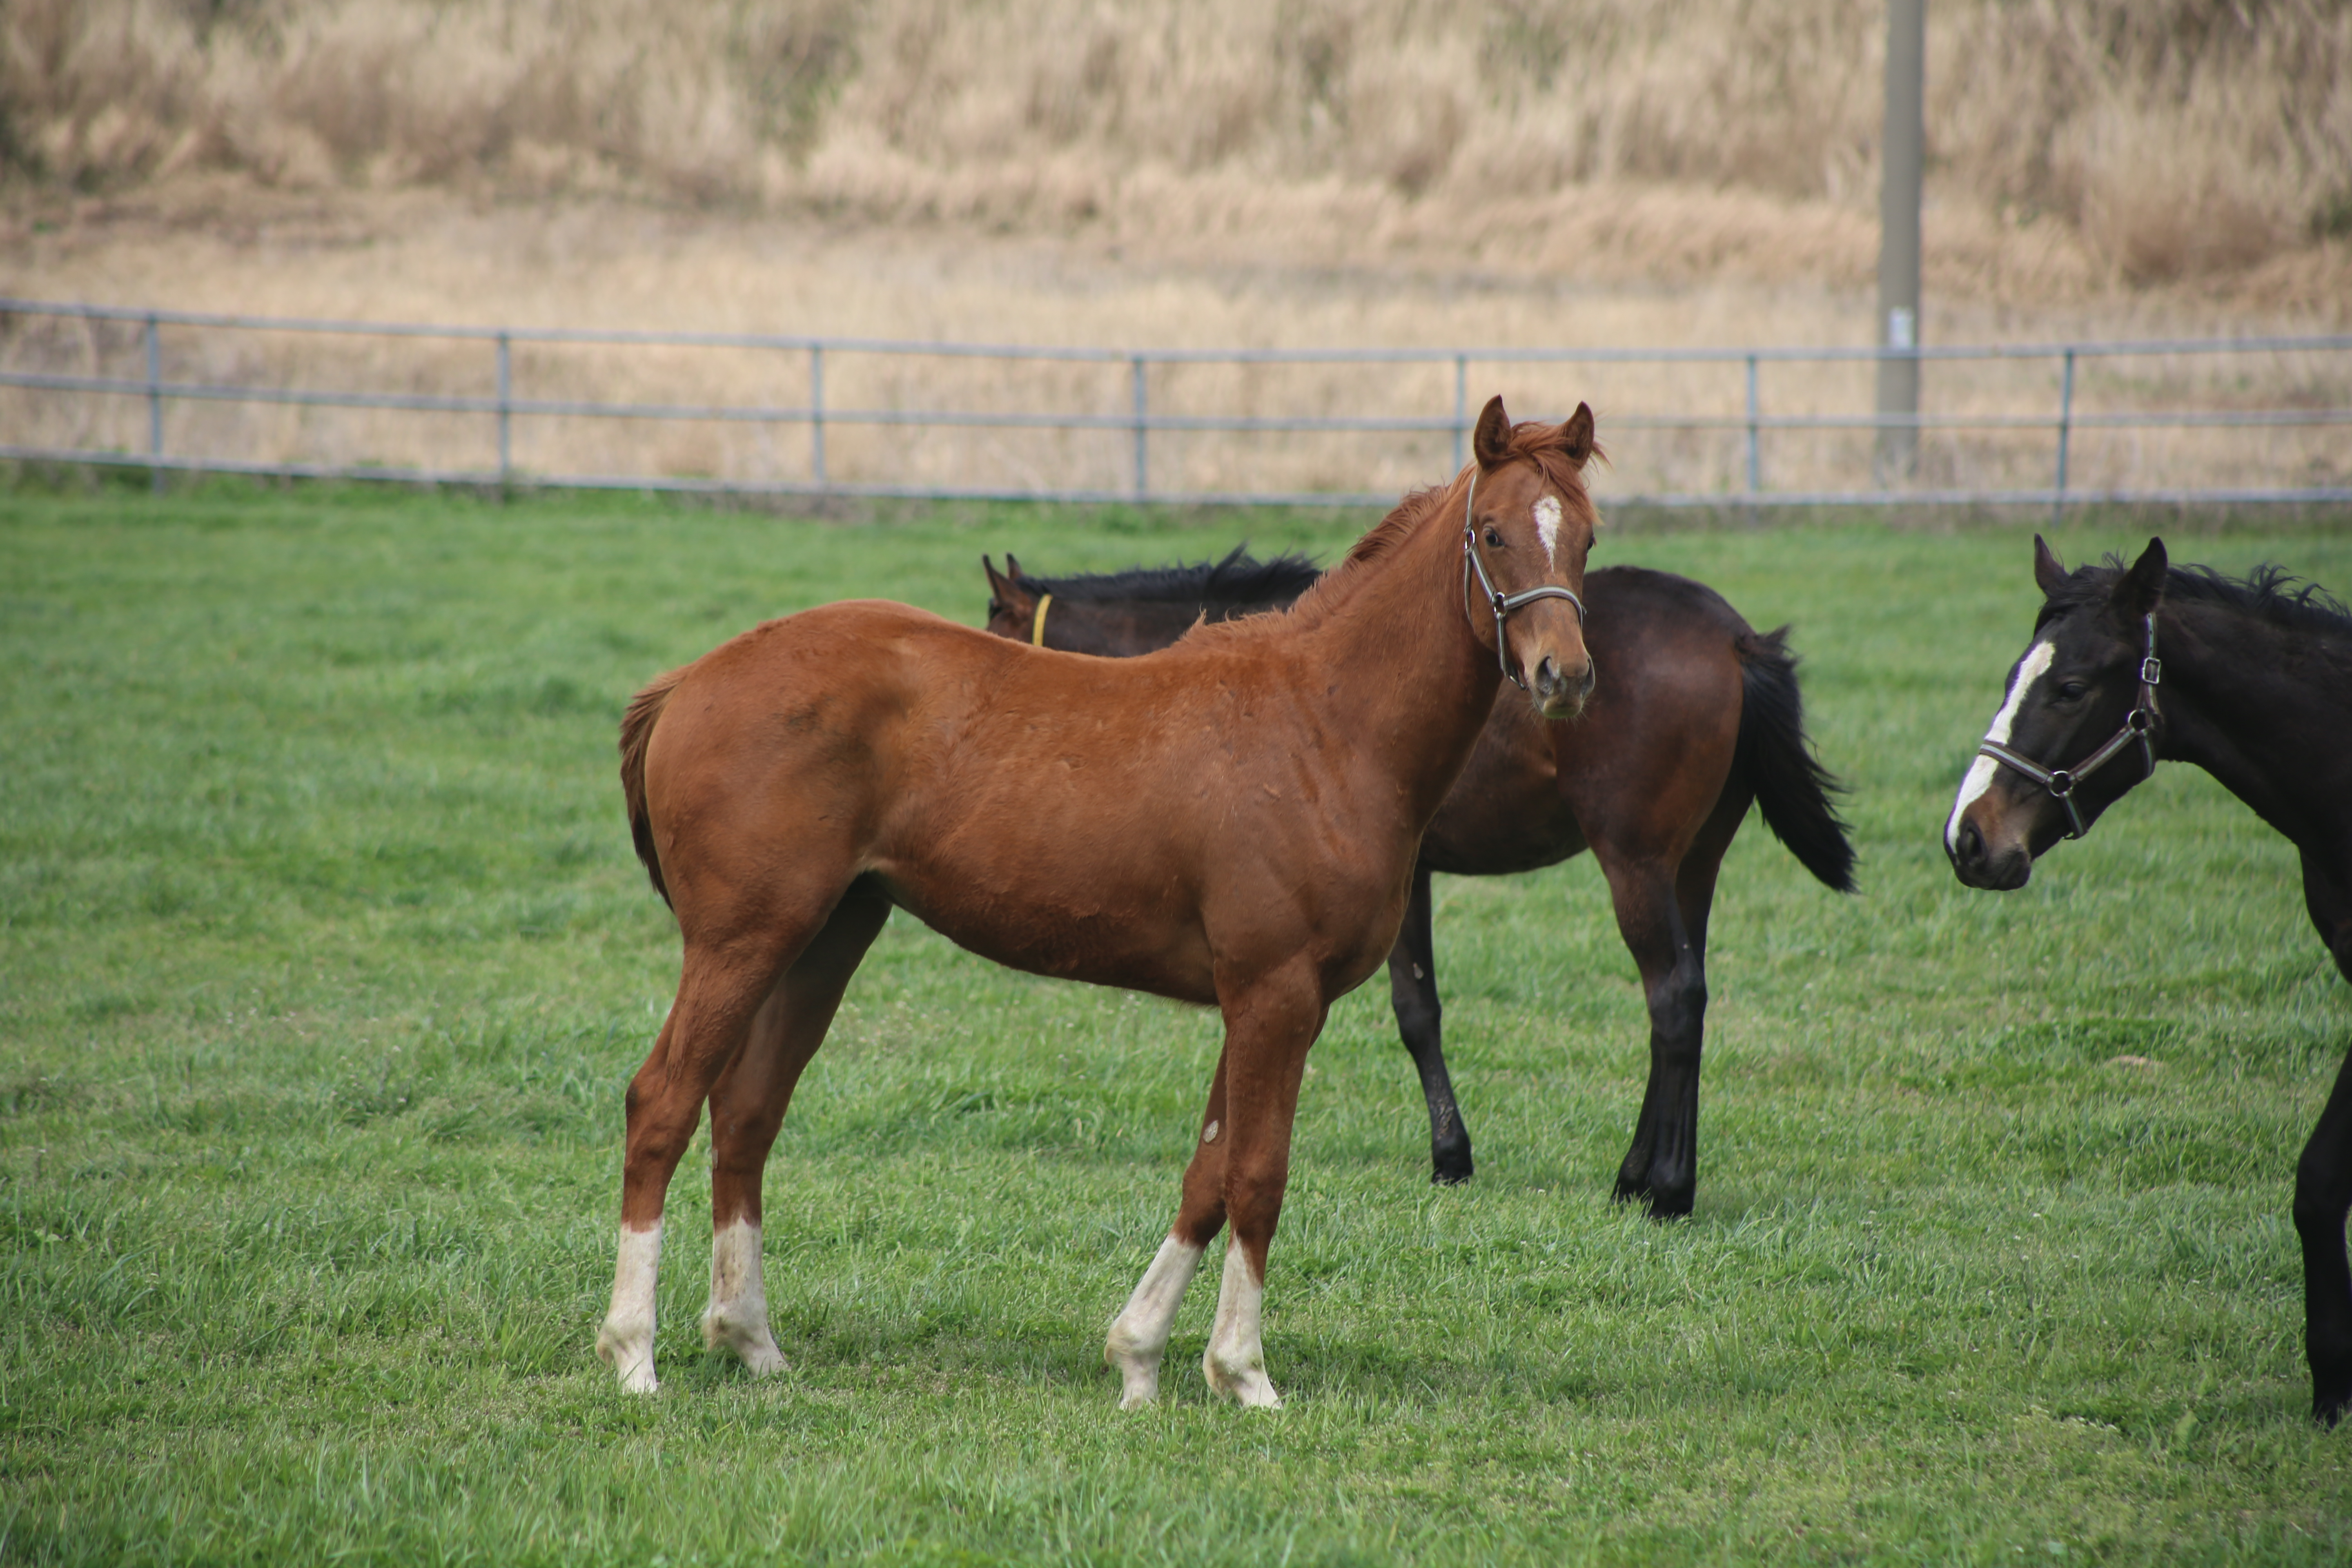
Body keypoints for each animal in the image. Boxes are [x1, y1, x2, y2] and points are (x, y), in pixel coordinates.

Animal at [602, 402, 1599, 1410]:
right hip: (741, 945)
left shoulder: (1257, 1001)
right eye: (1493, 533)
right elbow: (1257, 1175)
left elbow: (1207, 1175)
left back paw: (750, 1340)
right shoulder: (1277, 995)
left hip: (824, 941)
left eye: (1586, 539)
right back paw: (635, 1355)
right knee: (663, 1103)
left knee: (748, 1114)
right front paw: (1245, 1374)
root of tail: (688, 683)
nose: (1563, 675)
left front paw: (1141, 1356)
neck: (1323, 725)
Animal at [978, 543, 1853, 1213]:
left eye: (992, 625)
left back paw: (1663, 1187)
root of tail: (1735, 639)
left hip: (1636, 863)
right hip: (1694, 865)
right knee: (1691, 994)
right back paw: (1649, 1172)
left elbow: (1415, 1013)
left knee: (1670, 998)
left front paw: (1450, 1155)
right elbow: (1422, 1006)